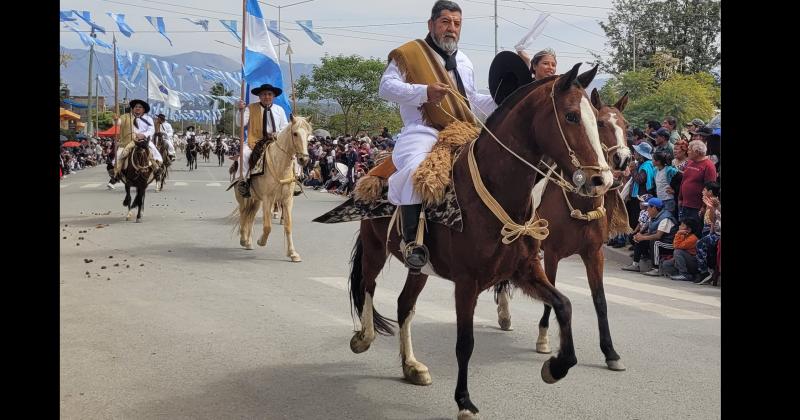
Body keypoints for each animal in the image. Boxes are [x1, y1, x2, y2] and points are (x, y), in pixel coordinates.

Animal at [231, 116, 312, 260]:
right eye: (295, 133)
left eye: (308, 135)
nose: (304, 159)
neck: (280, 166)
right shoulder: (268, 199)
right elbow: (267, 226)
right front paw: (261, 241)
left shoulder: (287, 199)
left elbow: (288, 225)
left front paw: (292, 253)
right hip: (242, 197)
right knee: (243, 213)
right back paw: (243, 239)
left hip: (256, 200)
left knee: (250, 216)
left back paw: (248, 242)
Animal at [346, 64, 612, 418]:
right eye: (570, 116)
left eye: (596, 119)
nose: (601, 180)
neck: (495, 191)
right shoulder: (467, 282)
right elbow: (465, 343)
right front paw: (464, 401)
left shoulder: (525, 271)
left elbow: (564, 305)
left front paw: (555, 367)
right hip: (375, 249)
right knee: (368, 286)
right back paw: (364, 337)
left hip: (420, 267)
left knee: (404, 305)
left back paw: (411, 366)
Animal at [494, 88, 632, 370]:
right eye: (600, 123)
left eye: (626, 125)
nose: (622, 160)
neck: (581, 202)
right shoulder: (553, 253)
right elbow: (552, 291)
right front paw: (544, 338)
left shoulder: (594, 254)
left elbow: (600, 301)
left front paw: (610, 352)